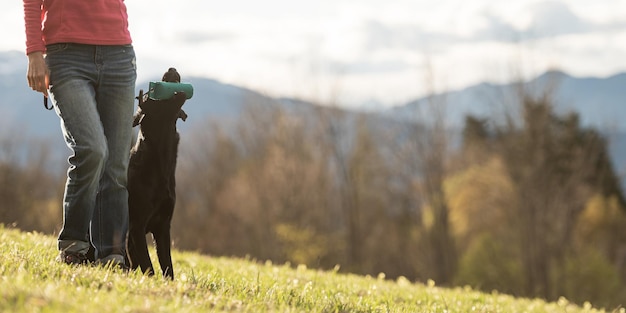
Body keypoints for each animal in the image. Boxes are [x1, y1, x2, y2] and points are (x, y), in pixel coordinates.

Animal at [125, 69, 186, 278]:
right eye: (149, 96)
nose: (171, 69)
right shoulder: (136, 226)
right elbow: (148, 266)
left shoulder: (163, 227)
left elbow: (168, 266)